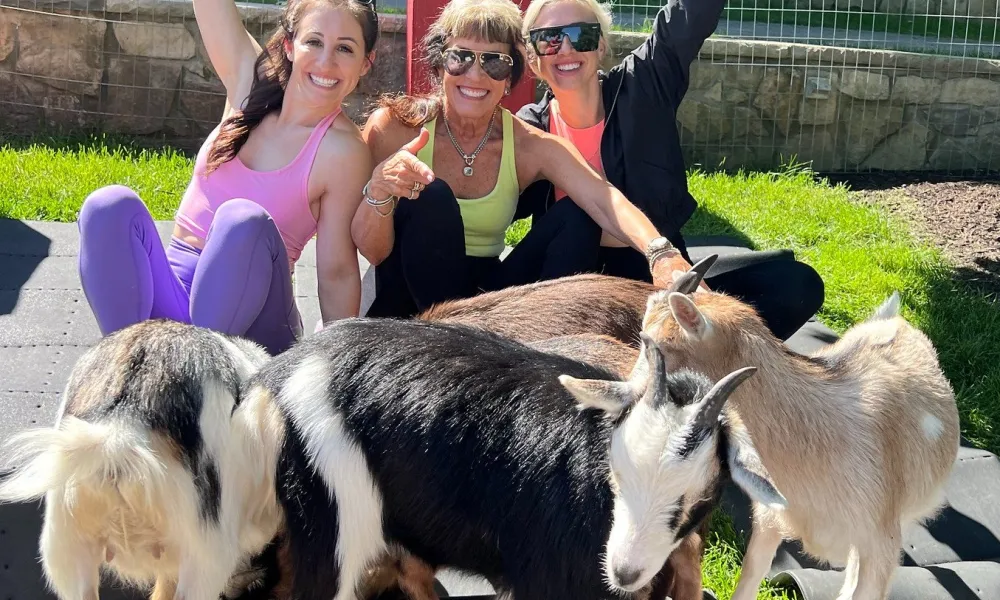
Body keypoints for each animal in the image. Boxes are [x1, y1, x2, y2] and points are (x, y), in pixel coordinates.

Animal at [242, 318, 752, 600]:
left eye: (694, 501)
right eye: (617, 476)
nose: (625, 571)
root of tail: (282, 371)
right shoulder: (548, 580)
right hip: (337, 519)